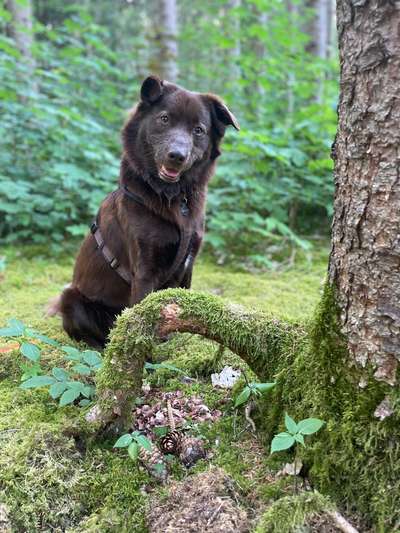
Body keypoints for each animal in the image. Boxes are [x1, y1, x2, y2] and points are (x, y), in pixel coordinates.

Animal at [50, 77, 238, 348]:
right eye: (164, 119)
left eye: (199, 130)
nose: (177, 156)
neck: (174, 198)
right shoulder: (144, 272)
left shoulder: (188, 266)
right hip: (71, 297)